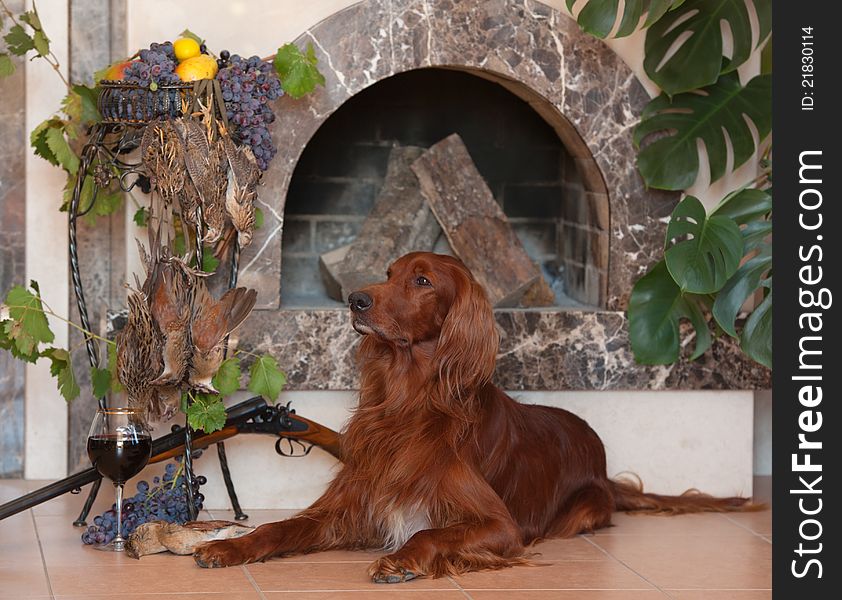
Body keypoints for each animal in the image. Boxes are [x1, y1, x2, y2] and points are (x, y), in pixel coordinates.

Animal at [192, 250, 756, 580]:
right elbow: (278, 528)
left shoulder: (501, 528)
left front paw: (400, 560)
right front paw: (230, 546)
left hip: (581, 509)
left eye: (422, 280)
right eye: (389, 274)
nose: (354, 299)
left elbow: (428, 533)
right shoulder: (350, 506)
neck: (409, 401)